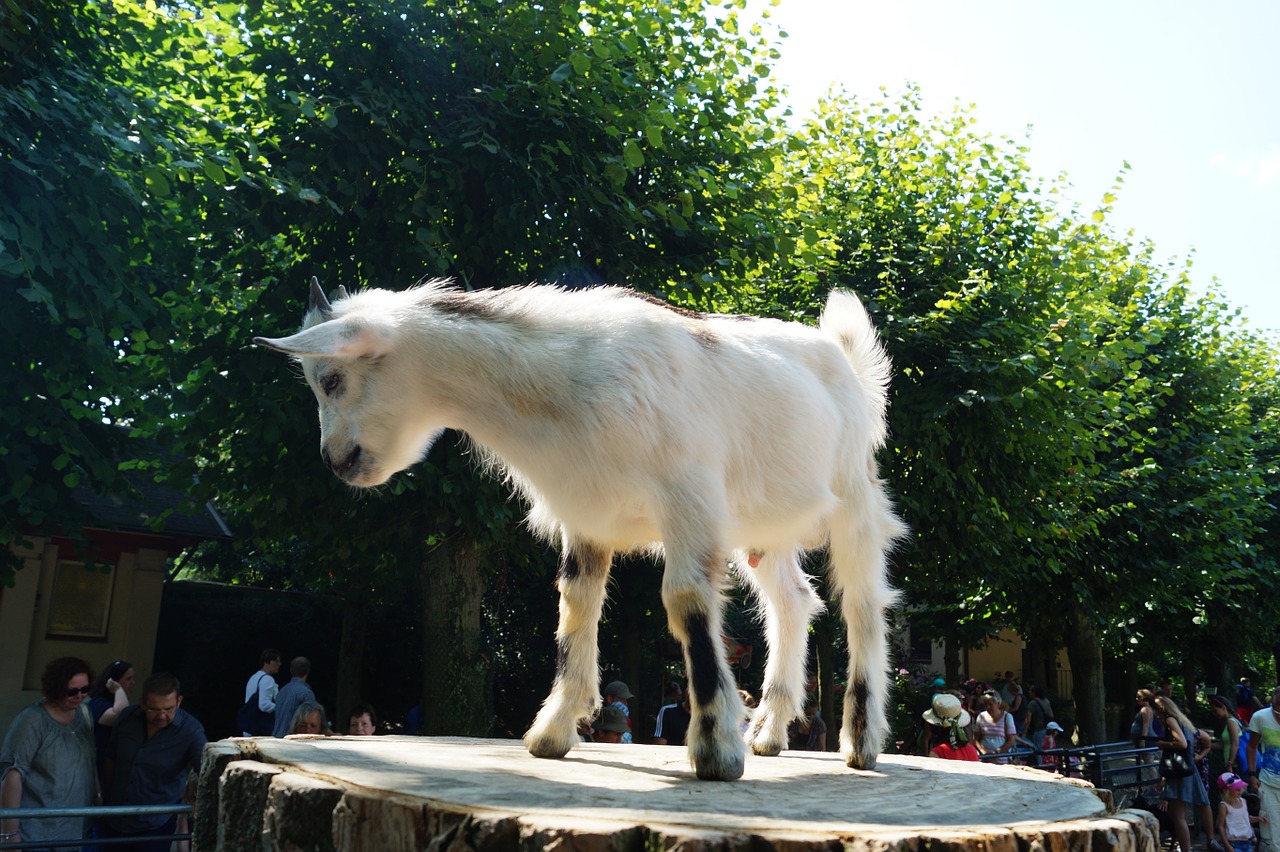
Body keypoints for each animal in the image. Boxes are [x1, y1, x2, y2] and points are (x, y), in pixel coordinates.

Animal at [254, 277, 906, 777]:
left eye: (331, 379)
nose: (335, 461)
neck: (558, 387)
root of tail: (844, 359)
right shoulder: (586, 515)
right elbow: (576, 607)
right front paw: (553, 730)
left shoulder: (690, 499)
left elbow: (687, 603)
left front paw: (715, 748)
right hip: (765, 523)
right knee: (793, 599)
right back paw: (769, 731)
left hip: (854, 494)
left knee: (863, 605)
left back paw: (860, 741)